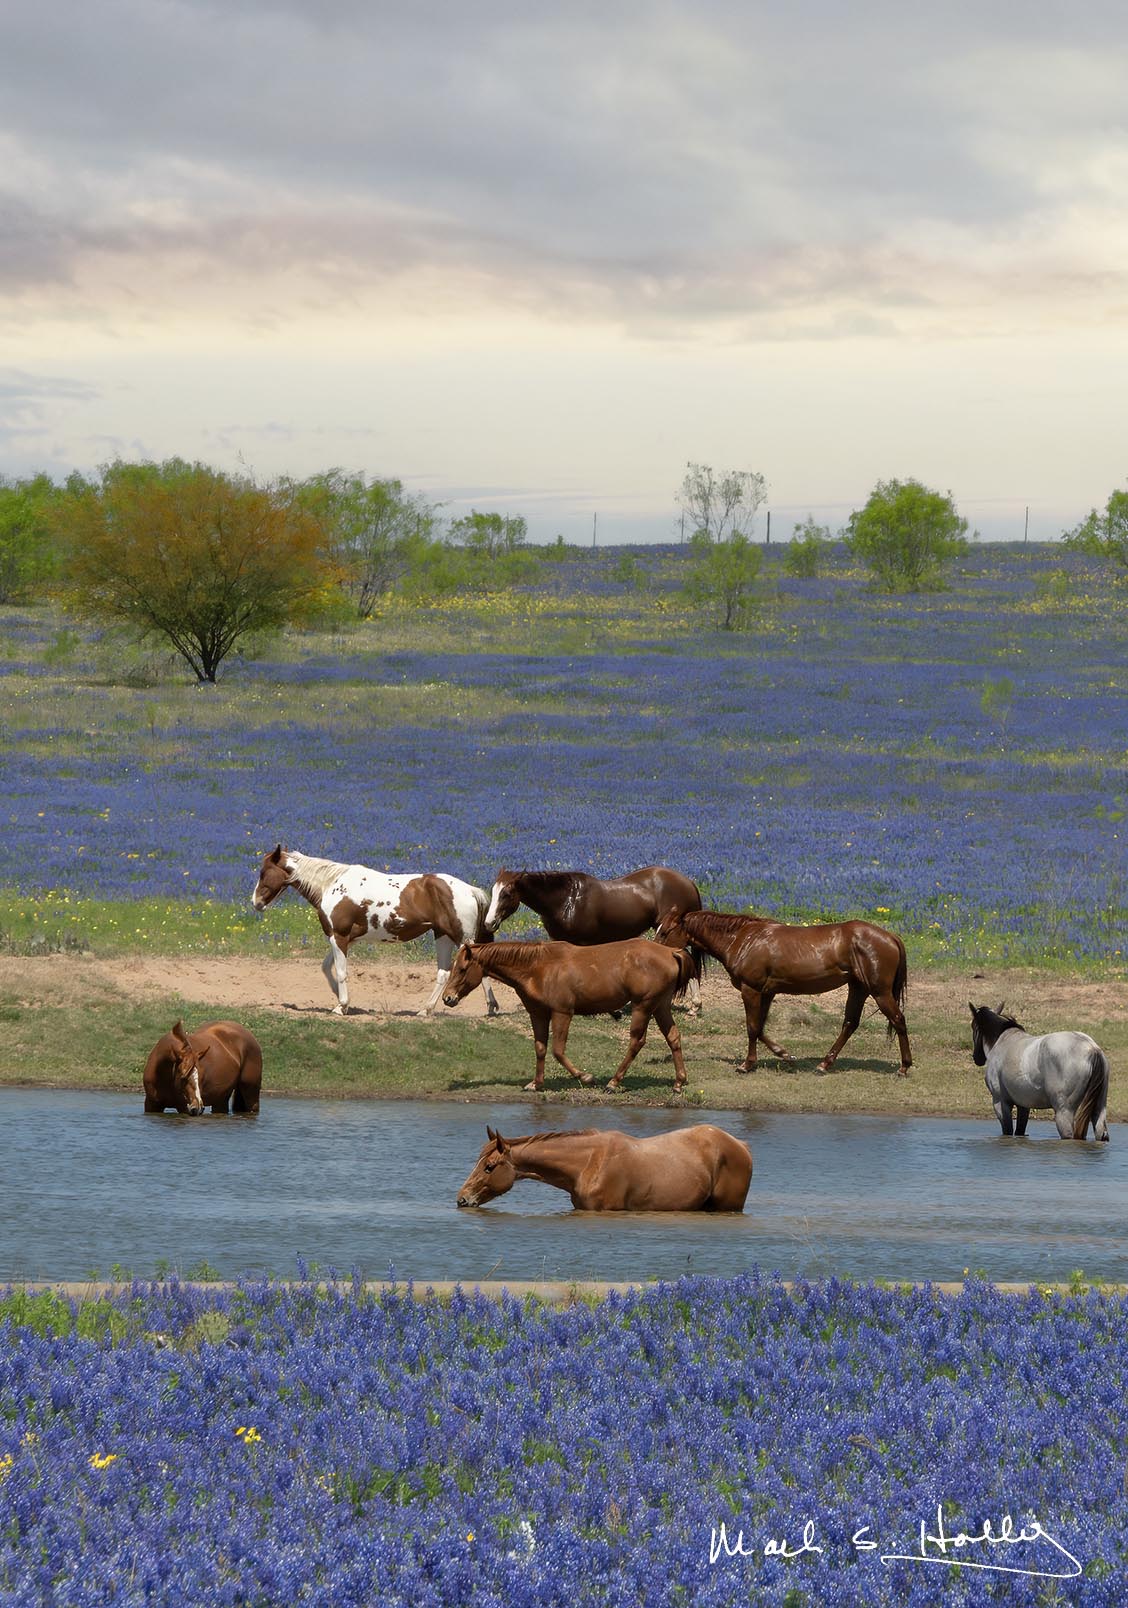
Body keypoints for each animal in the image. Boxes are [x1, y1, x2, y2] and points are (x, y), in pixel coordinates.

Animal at [251, 846, 498, 1017]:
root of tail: (470, 890)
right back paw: (426, 1010)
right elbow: (326, 968)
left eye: (264, 872)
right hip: (443, 936)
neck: (332, 885)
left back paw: (491, 1006)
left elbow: (341, 971)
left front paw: (341, 1006)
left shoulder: (339, 936)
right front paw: (341, 998)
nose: (256, 902)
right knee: (444, 973)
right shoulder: (346, 939)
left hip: (460, 938)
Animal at [441, 938, 696, 1092]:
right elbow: (540, 1048)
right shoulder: (539, 1014)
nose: (448, 998)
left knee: (637, 1041)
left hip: (643, 1006)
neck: (538, 966)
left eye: (462, 969)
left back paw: (613, 1082)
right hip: (660, 1006)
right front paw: (536, 1083)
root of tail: (671, 951)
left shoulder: (562, 1013)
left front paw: (585, 1077)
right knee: (673, 1037)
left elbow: (557, 1050)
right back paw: (679, 1081)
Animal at [484, 866, 704, 1014]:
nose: (488, 922)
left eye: (506, 893)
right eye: (493, 891)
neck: (565, 900)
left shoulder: (583, 943)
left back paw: (695, 1004)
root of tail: (689, 883)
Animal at [655, 907, 912, 1076]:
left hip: (879, 992)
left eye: (665, 931)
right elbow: (759, 1028)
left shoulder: (751, 989)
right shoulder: (767, 992)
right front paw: (785, 1054)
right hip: (858, 988)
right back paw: (824, 1064)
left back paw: (904, 1066)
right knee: (850, 1023)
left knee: (898, 1019)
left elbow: (752, 1028)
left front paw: (747, 1064)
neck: (743, 939)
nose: (655, 952)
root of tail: (891, 937)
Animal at [969, 1002, 1111, 1140]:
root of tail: (1091, 1048)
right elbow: (1019, 1131)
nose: (977, 1058)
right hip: (1099, 1108)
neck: (1002, 1040)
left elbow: (1007, 1131)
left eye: (973, 1026)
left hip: (1064, 1113)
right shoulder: (1023, 1105)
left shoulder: (1000, 1102)